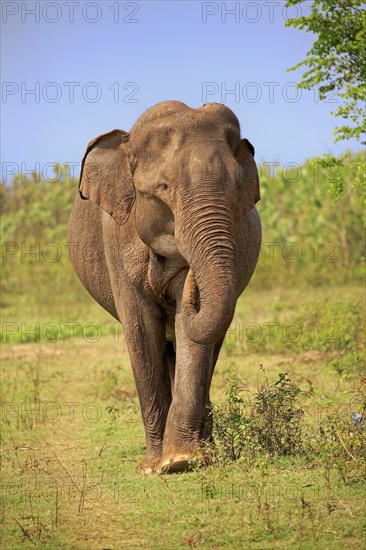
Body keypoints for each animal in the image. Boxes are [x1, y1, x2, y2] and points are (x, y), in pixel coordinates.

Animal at [67, 101, 262, 476]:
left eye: (237, 189)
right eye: (163, 187)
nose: (190, 288)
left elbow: (192, 332)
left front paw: (180, 461)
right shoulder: (115, 235)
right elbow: (142, 327)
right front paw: (153, 467)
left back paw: (205, 449)